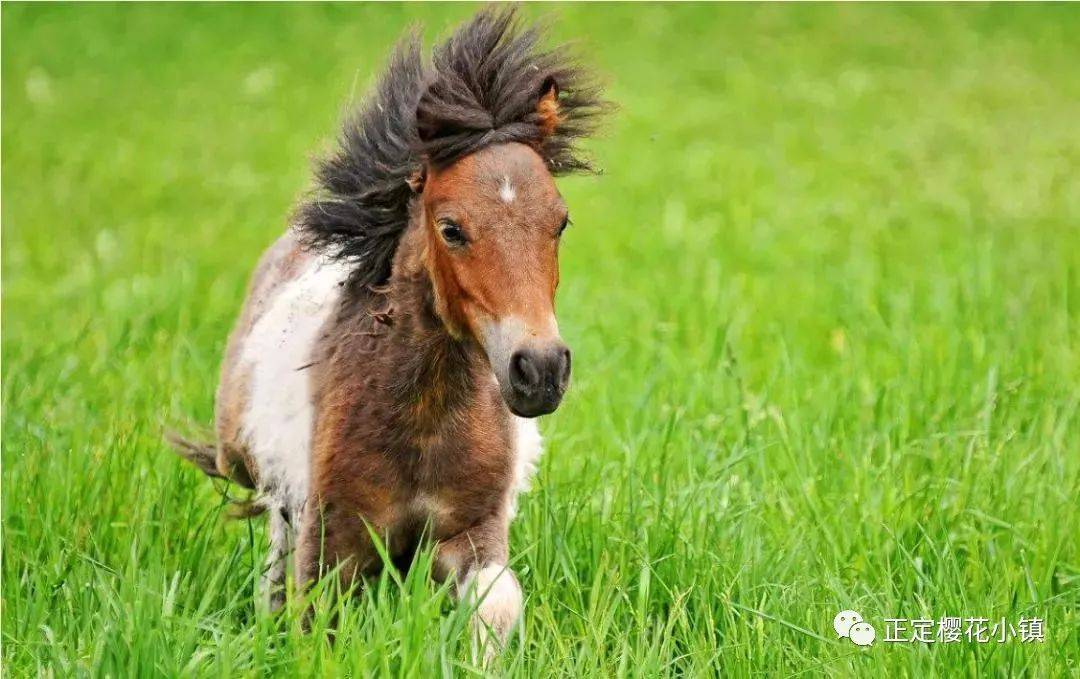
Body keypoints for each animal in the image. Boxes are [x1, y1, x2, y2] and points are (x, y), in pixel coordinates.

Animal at [168, 6, 609, 652]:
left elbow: (498, 605)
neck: (424, 419)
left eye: (561, 222)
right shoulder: (335, 547)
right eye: (451, 228)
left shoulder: (472, 534)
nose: (541, 370)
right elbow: (312, 618)